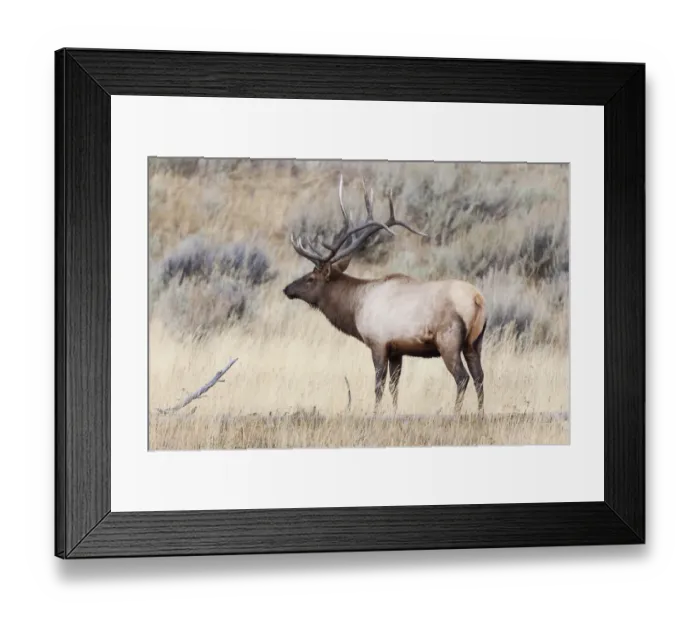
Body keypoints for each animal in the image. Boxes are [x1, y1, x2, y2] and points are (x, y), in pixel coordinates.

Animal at [283, 175, 487, 416]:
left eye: (310, 278)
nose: (287, 289)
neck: (355, 307)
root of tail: (477, 300)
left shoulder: (378, 343)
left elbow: (379, 385)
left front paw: (375, 413)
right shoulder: (397, 350)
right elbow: (394, 386)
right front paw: (394, 412)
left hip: (449, 341)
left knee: (462, 377)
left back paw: (456, 413)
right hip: (474, 342)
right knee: (480, 376)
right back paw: (480, 413)